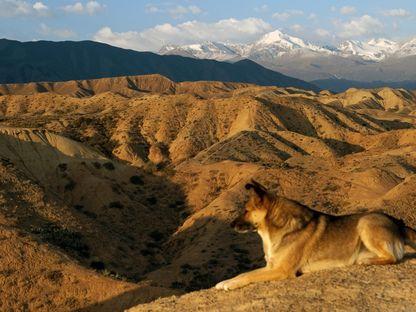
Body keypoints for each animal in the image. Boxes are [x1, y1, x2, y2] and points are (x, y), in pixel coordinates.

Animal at [216, 180, 414, 290]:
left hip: (366, 223)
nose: (230, 224)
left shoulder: (282, 270)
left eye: (246, 210)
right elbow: (245, 273)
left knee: (393, 258)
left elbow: (248, 276)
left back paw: (365, 261)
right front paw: (225, 282)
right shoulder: (271, 266)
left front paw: (230, 284)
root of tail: (398, 222)